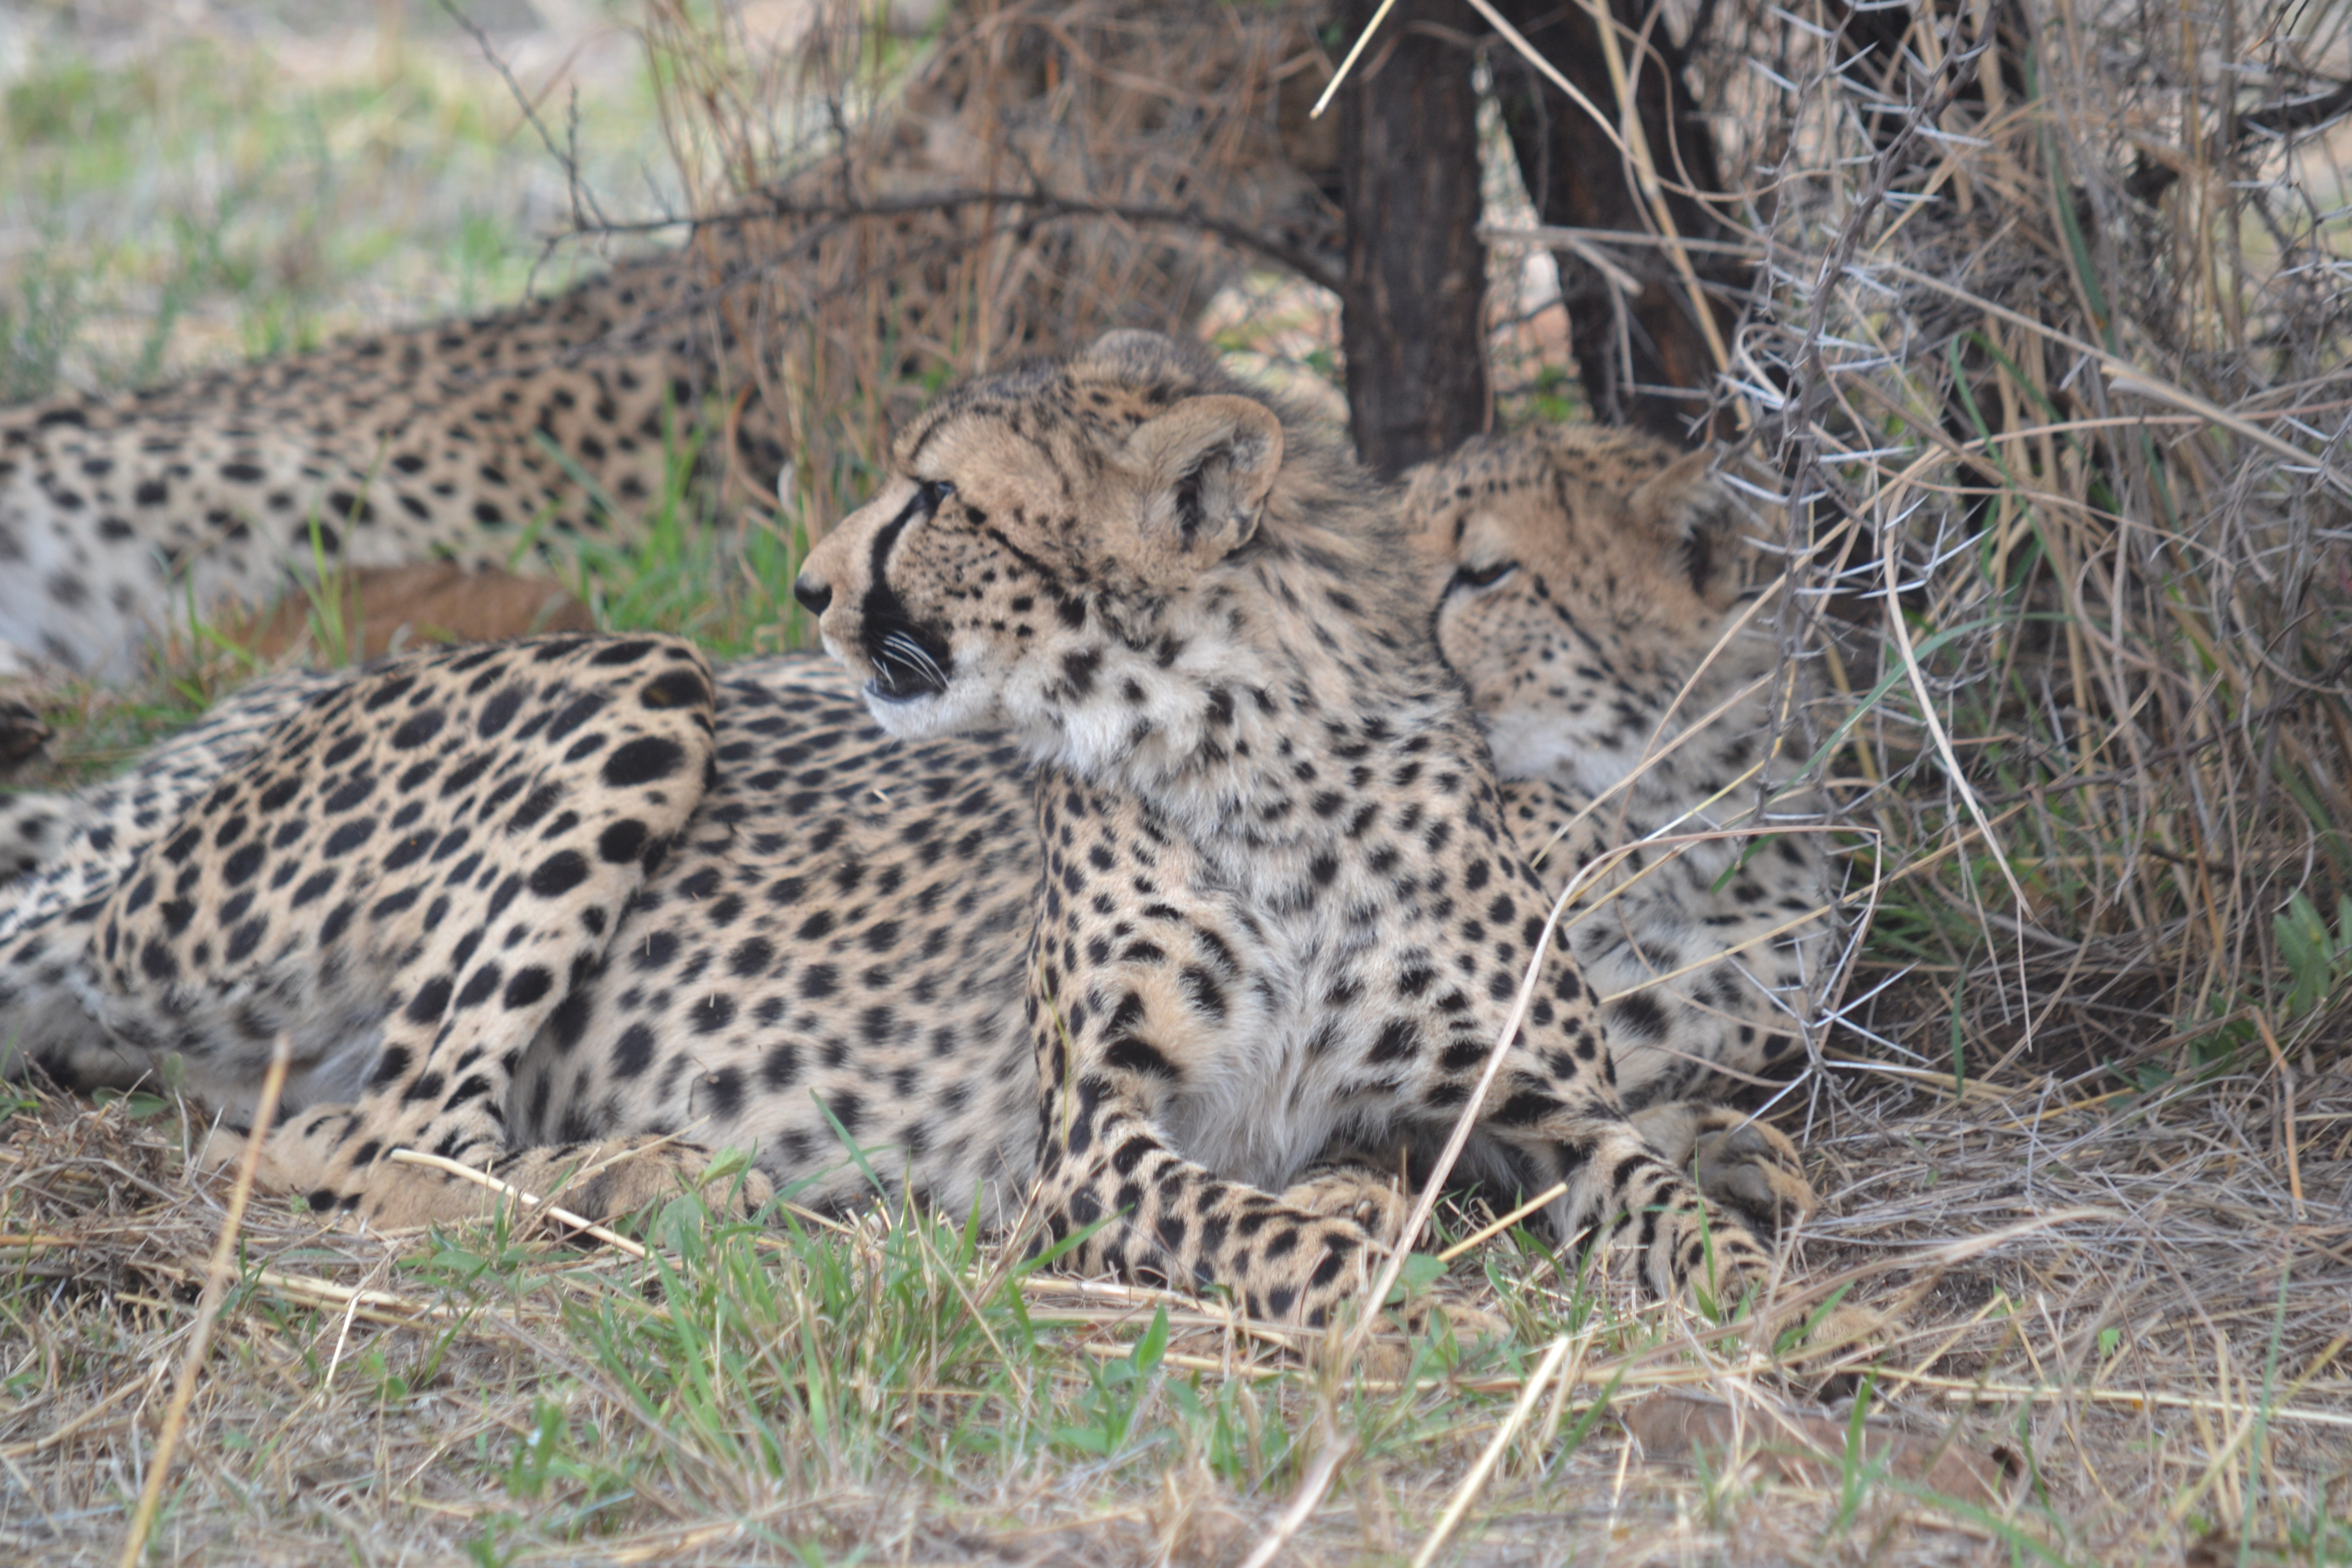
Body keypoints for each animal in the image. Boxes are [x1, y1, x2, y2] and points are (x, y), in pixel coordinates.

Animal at [0, 341, 1834, 1326]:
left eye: (938, 499)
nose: (808, 589)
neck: (1254, 761)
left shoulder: (1541, 1105)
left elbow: (1661, 1203)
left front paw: (1784, 1325)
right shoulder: (1089, 1147)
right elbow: (1275, 1234)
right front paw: (1408, 1286)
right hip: (629, 673)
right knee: (356, 1148)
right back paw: (666, 1177)